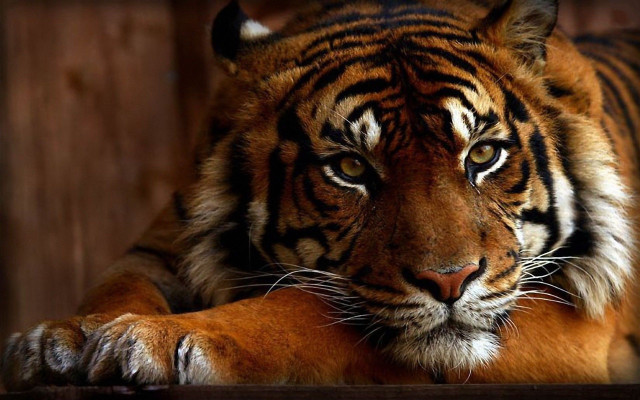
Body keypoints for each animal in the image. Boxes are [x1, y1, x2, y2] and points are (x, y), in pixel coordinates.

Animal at [2, 0, 640, 390]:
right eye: (351, 167)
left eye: (482, 155)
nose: (450, 282)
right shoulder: (161, 247)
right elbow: (116, 286)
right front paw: (60, 340)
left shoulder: (572, 318)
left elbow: (304, 308)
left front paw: (161, 340)